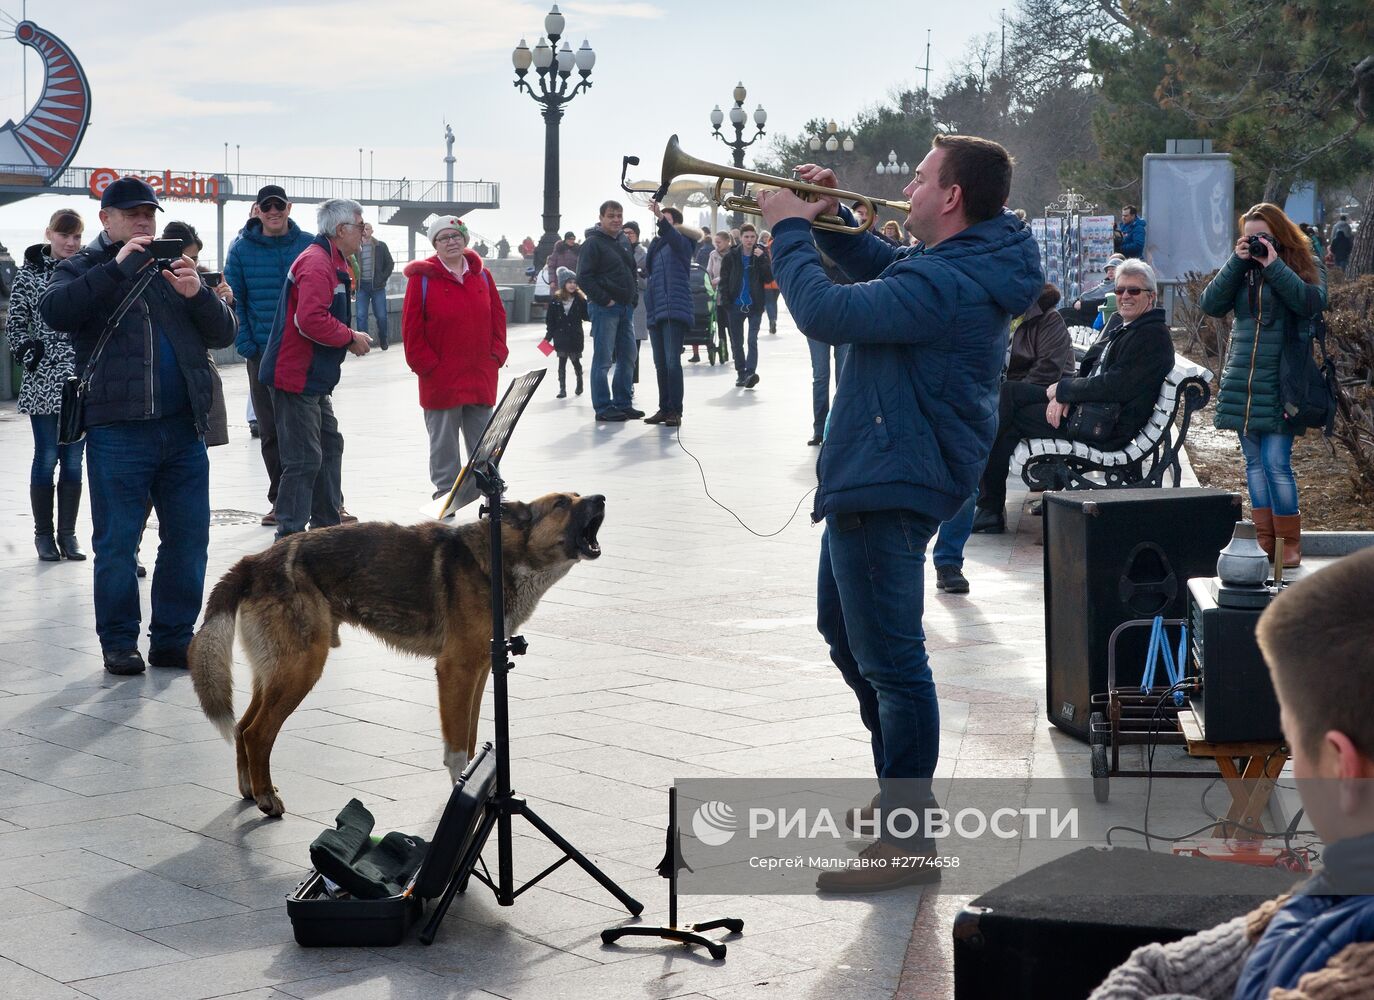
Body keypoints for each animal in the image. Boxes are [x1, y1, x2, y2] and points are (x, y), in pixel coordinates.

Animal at [186, 489, 601, 813]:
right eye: (561, 503)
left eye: (578, 495)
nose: (601, 499)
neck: (500, 558)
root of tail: (254, 561)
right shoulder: (456, 670)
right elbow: (456, 746)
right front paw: (462, 793)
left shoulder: (482, 670)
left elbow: (469, 738)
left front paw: (474, 785)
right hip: (301, 669)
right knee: (258, 733)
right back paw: (267, 800)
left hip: (277, 670)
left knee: (242, 728)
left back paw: (251, 790)